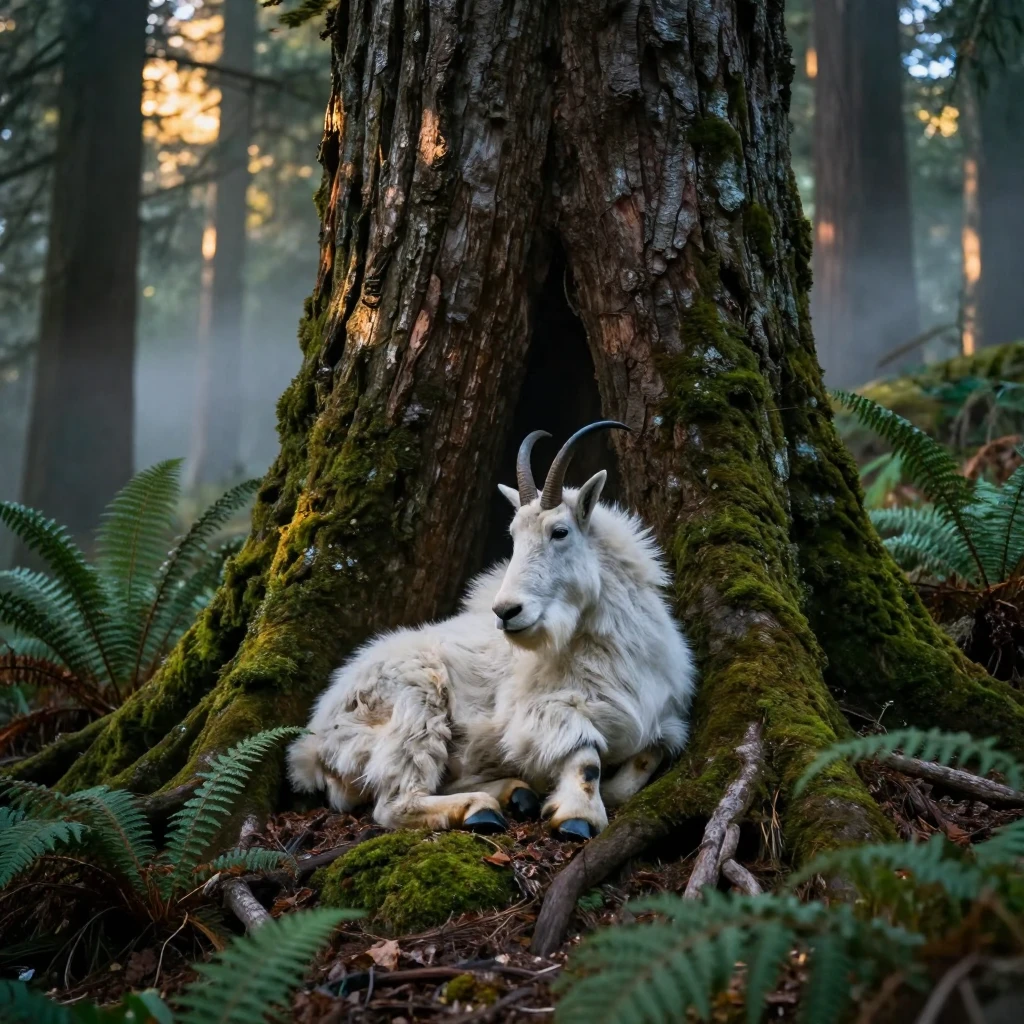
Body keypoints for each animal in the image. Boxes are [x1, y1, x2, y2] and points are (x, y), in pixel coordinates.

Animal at [288, 421, 696, 839]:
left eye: (560, 531)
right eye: (513, 536)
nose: (506, 611)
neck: (609, 648)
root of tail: (313, 747)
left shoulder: (664, 720)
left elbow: (640, 767)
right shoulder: (546, 714)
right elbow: (586, 758)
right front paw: (577, 817)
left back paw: (515, 793)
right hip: (414, 707)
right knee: (394, 803)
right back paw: (480, 809)